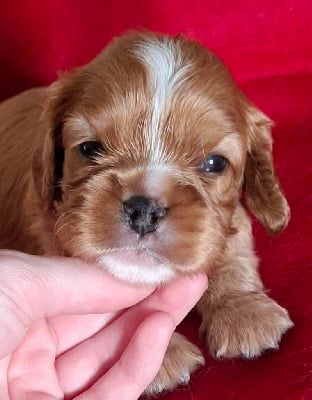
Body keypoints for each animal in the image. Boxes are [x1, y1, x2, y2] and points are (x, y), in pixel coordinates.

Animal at [0, 31, 292, 394]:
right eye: (89, 149)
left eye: (214, 163)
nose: (144, 209)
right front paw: (161, 356)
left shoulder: (226, 220)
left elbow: (233, 254)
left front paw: (244, 311)